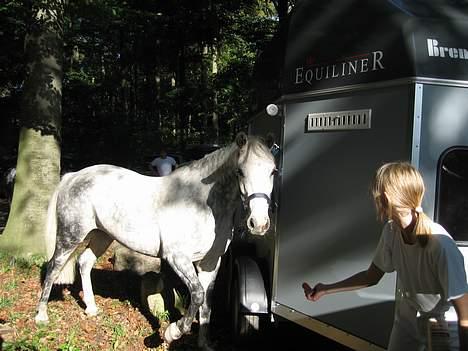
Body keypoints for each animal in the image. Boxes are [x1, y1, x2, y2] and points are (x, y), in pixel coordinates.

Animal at [37, 133, 278, 350]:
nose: (259, 223)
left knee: (84, 262)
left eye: (273, 171)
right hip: (71, 235)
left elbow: (207, 303)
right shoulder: (177, 258)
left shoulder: (210, 263)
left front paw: (204, 344)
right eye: (240, 171)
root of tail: (73, 176)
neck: (201, 203)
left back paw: (91, 309)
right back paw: (41, 316)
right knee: (54, 266)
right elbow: (197, 295)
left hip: (101, 235)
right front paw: (172, 333)